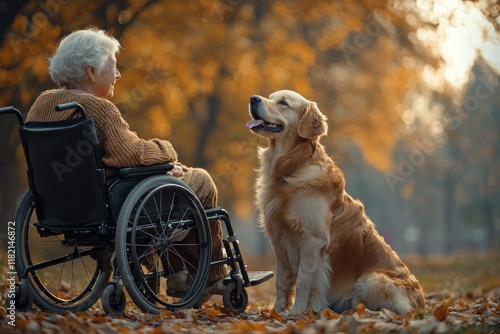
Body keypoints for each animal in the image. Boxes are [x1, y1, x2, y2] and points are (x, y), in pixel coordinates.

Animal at [246, 90, 426, 314]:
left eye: (283, 103)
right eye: (270, 97)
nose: (253, 98)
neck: (292, 167)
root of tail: (422, 303)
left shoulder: (312, 240)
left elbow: (304, 280)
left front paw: (297, 312)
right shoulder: (279, 240)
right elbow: (282, 281)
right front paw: (277, 311)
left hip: (371, 280)